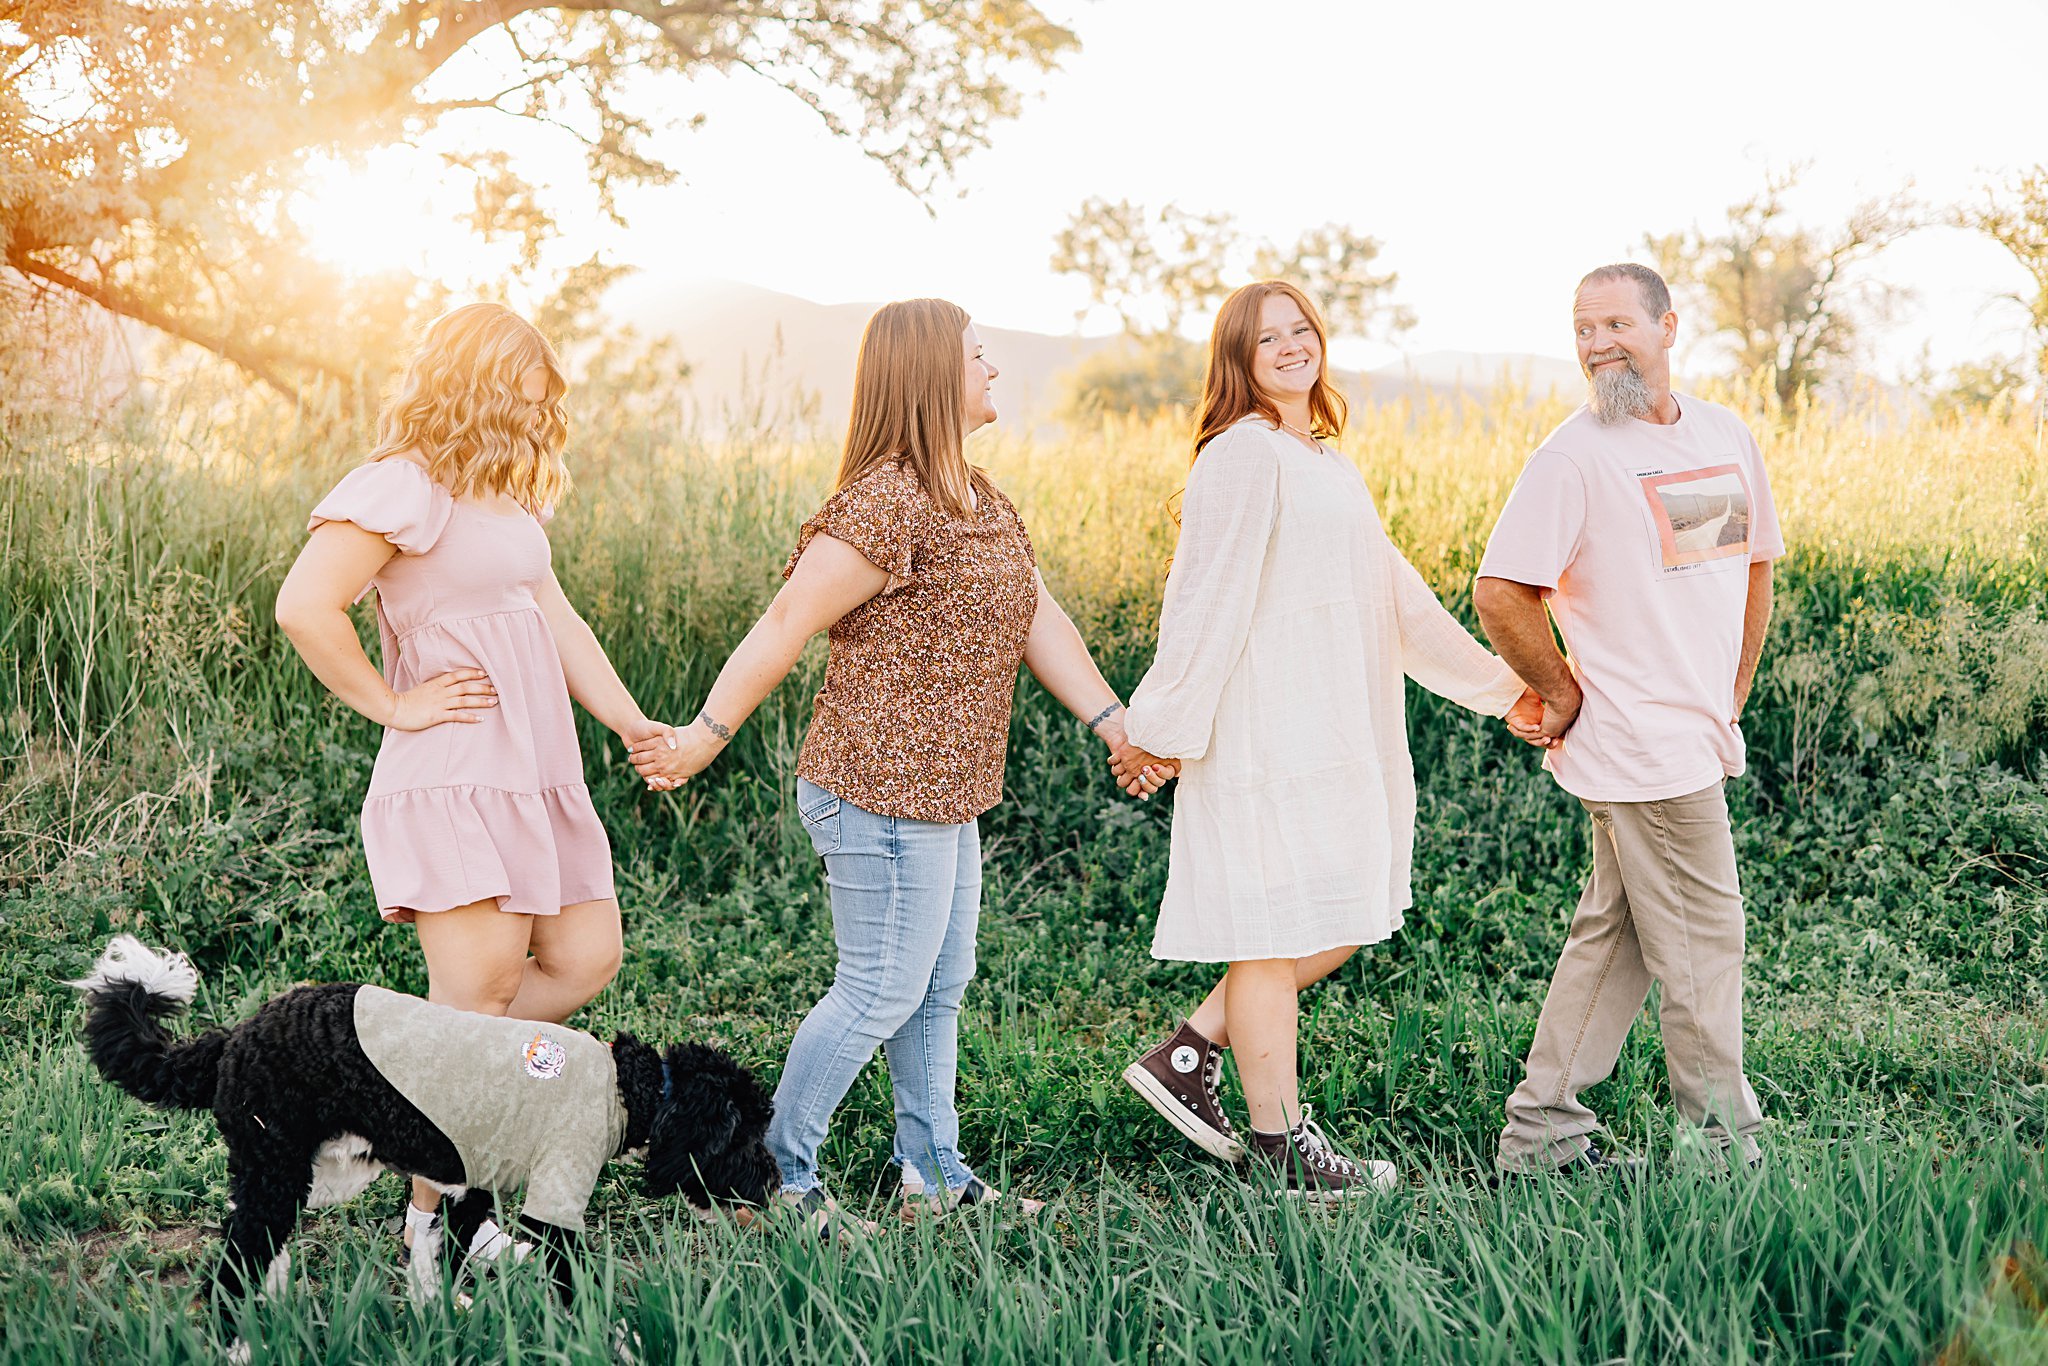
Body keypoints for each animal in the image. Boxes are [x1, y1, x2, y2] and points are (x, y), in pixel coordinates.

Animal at [72, 942, 774, 1310]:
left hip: (303, 1172)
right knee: (233, 1261)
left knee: (245, 1238)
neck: (631, 1087)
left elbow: (447, 1253)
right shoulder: (557, 1199)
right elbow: (574, 1283)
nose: (772, 1182)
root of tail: (233, 1039)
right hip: (279, 1169)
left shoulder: (471, 1187)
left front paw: (446, 1312)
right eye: (743, 1136)